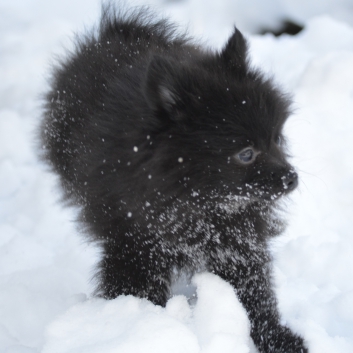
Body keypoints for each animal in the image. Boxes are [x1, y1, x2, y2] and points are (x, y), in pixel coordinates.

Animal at [40, 5, 306, 352]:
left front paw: (275, 337)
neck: (198, 201)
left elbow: (253, 291)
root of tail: (114, 33)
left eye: (276, 139)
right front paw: (141, 324)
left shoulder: (235, 240)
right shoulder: (135, 241)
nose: (291, 178)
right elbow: (133, 286)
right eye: (246, 153)